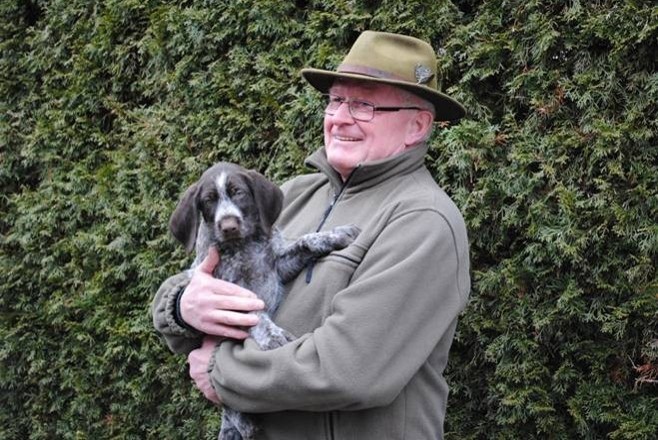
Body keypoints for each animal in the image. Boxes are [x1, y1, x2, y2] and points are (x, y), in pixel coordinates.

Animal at [167, 162, 356, 440]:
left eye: (239, 193)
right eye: (208, 200)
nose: (228, 225)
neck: (243, 245)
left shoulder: (279, 266)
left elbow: (305, 242)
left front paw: (335, 235)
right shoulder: (227, 293)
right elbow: (255, 314)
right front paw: (273, 335)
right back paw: (246, 422)